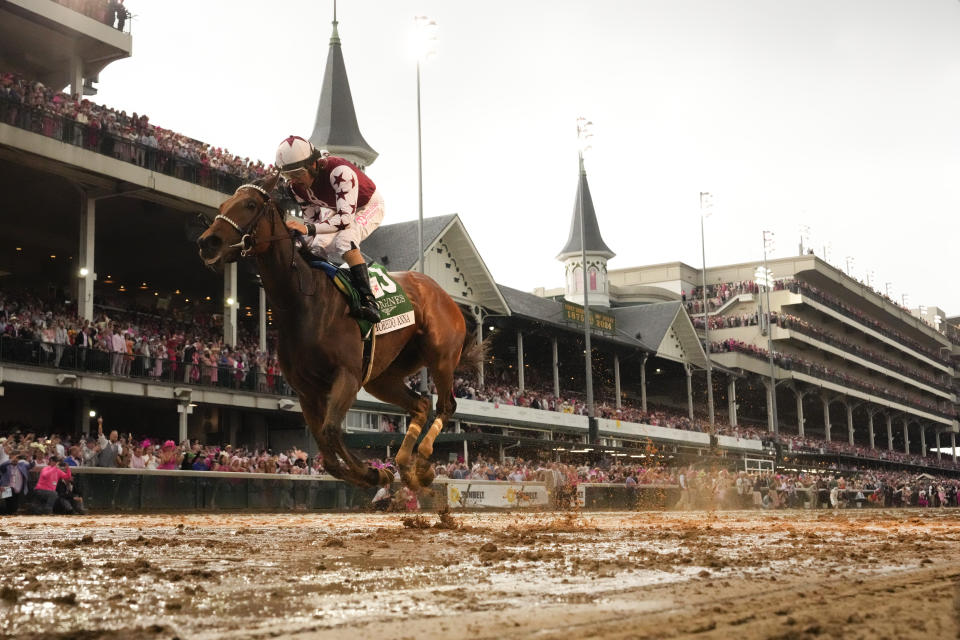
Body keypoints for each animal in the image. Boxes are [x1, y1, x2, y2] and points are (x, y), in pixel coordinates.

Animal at [197, 175, 480, 490]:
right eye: (223, 205)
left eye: (249, 204)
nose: (208, 242)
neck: (303, 302)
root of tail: (446, 296)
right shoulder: (306, 390)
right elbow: (328, 453)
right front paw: (374, 472)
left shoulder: (347, 376)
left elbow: (331, 431)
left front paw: (373, 472)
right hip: (382, 378)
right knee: (420, 404)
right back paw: (406, 464)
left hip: (441, 358)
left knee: (446, 405)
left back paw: (421, 462)